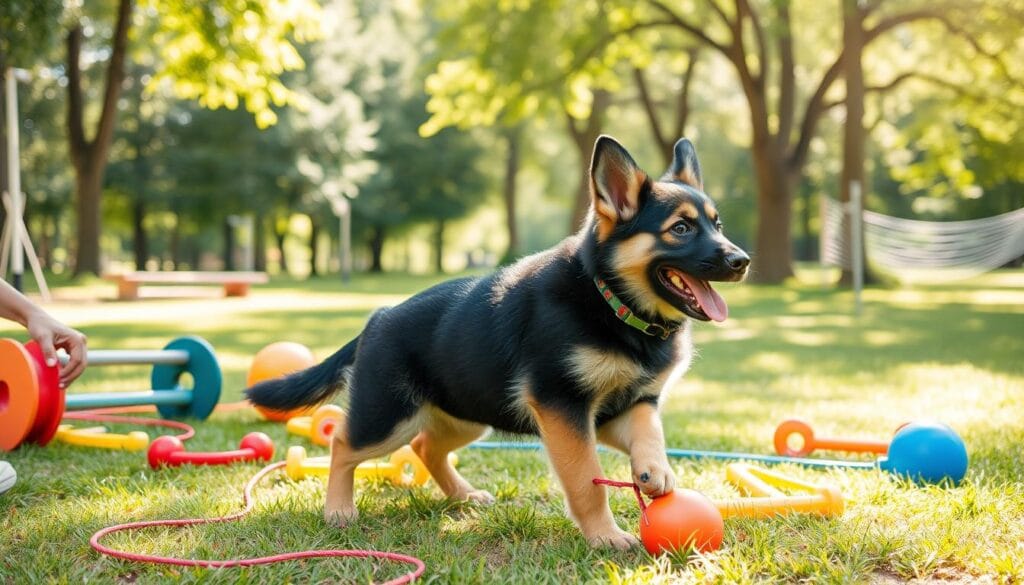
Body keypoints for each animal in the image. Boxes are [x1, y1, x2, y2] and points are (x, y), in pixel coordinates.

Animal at [244, 136, 749, 549]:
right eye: (681, 229)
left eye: (718, 224)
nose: (742, 261)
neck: (611, 301)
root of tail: (379, 317)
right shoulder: (563, 408)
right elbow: (586, 479)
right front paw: (605, 535)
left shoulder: (624, 406)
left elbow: (650, 430)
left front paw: (654, 469)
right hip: (389, 417)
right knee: (343, 444)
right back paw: (339, 509)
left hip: (469, 414)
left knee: (426, 447)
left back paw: (462, 496)